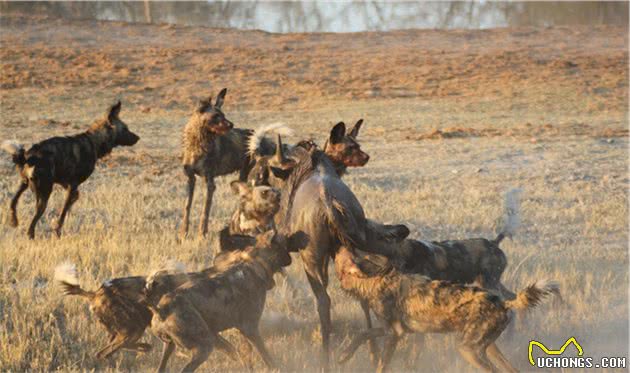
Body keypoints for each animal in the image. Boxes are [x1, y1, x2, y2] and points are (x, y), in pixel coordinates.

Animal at [1, 100, 139, 238]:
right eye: (125, 129)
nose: (138, 137)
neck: (94, 141)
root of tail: (29, 157)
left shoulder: (67, 184)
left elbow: (72, 201)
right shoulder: (72, 186)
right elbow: (63, 213)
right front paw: (57, 231)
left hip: (24, 184)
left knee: (13, 201)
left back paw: (14, 221)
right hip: (44, 194)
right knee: (33, 220)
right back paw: (31, 236)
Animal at [147, 228, 300, 370]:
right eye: (284, 245)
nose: (291, 258)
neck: (256, 264)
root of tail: (161, 309)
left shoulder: (240, 331)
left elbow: (246, 356)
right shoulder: (250, 329)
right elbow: (266, 356)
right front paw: (277, 368)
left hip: (170, 347)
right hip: (205, 346)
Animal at [336, 247, 556, 372]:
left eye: (345, 255)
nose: (342, 244)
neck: (375, 278)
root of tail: (503, 303)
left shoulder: (394, 333)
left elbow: (381, 364)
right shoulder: (388, 330)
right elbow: (362, 334)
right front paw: (344, 355)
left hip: (467, 350)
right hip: (486, 349)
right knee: (511, 370)